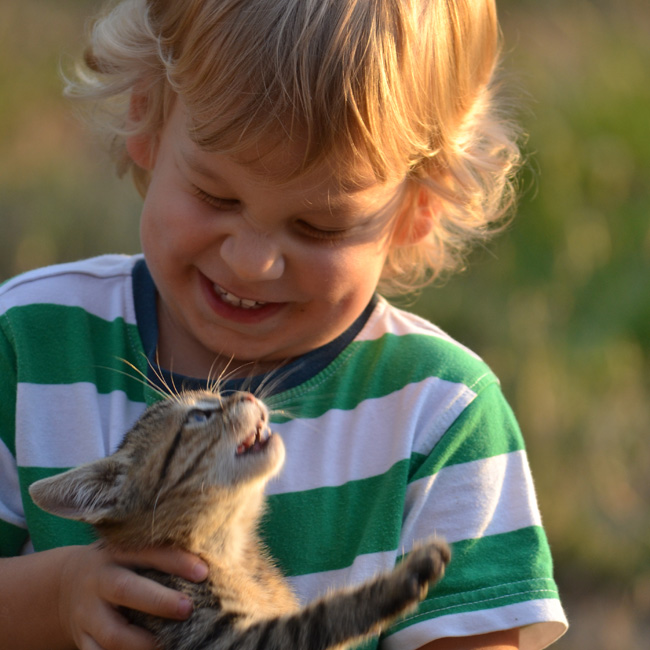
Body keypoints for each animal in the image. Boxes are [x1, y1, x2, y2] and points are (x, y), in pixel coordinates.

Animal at [27, 390, 448, 648]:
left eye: (215, 396)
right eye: (199, 415)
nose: (243, 394)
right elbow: (317, 622)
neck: (227, 550)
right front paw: (403, 579)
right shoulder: (216, 634)